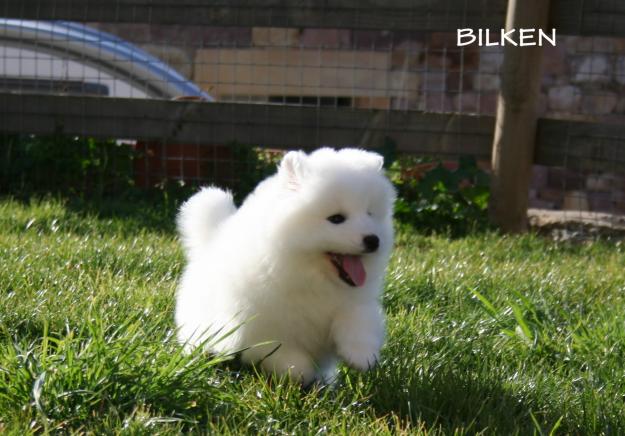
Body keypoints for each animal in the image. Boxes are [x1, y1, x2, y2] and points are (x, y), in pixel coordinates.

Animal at [174, 147, 394, 384]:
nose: (373, 240)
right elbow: (288, 357)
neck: (311, 278)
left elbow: (358, 321)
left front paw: (362, 356)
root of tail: (211, 240)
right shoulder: (265, 330)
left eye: (370, 214)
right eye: (336, 219)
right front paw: (301, 375)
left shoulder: (355, 302)